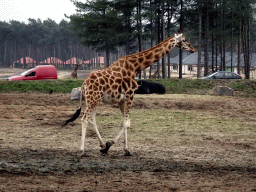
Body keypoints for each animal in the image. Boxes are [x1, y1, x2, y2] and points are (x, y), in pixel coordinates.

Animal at [65, 31, 194, 156]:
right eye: (184, 40)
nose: (193, 49)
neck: (135, 67)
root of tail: (84, 84)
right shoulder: (130, 95)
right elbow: (127, 123)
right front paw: (110, 145)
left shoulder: (121, 99)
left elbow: (124, 121)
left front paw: (123, 149)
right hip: (93, 99)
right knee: (84, 119)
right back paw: (82, 151)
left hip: (93, 100)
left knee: (92, 119)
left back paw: (100, 144)